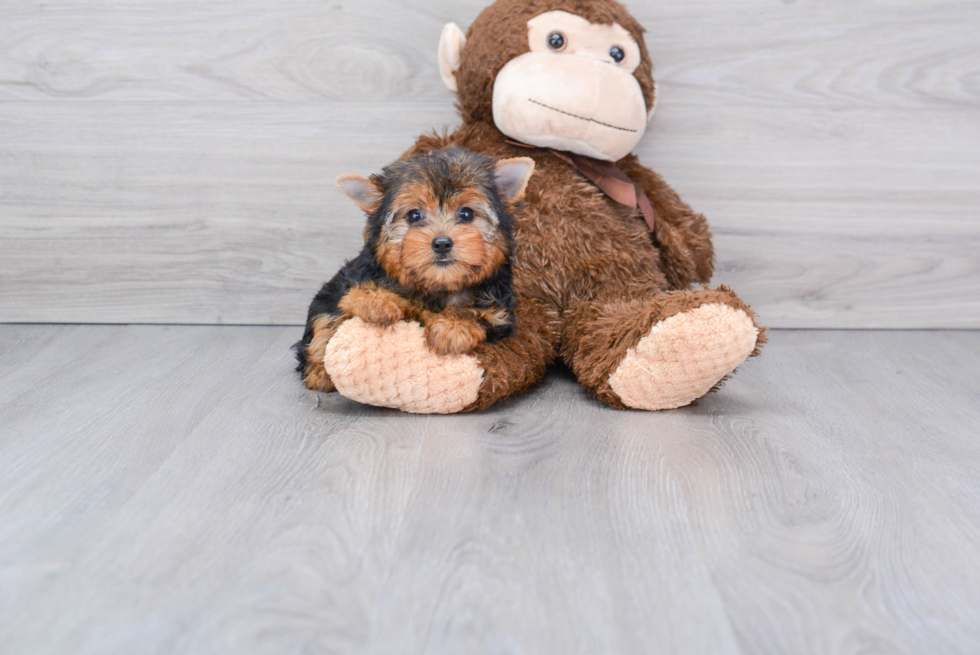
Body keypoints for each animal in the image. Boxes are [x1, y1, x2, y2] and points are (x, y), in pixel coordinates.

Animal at [294, 147, 536, 394]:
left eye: (467, 214)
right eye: (414, 215)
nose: (442, 243)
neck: (436, 286)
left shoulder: (500, 315)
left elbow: (479, 314)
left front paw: (453, 327)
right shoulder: (346, 282)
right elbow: (336, 311)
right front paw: (377, 300)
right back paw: (318, 372)